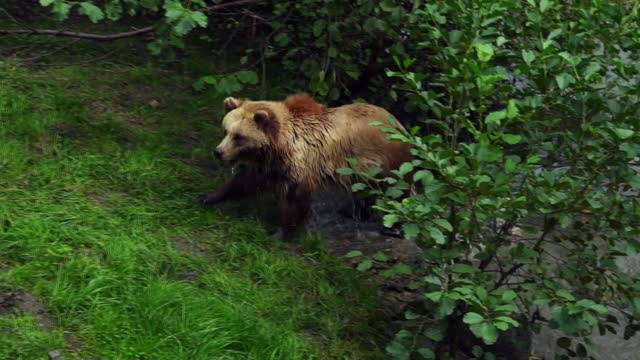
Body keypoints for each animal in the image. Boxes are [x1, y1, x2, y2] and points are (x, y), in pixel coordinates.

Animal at [200, 94, 412, 239]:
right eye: (226, 130)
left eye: (239, 137)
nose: (218, 151)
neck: (278, 148)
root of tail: (400, 124)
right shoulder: (271, 167)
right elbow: (245, 182)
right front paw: (210, 197)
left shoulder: (302, 166)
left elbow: (295, 199)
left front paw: (282, 232)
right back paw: (354, 211)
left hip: (385, 161)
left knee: (397, 190)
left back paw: (392, 228)